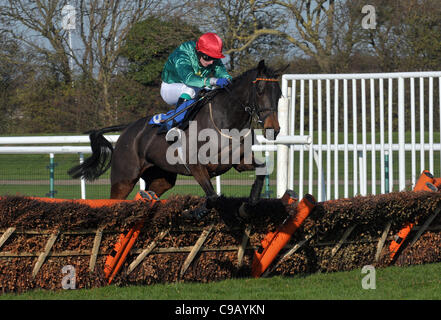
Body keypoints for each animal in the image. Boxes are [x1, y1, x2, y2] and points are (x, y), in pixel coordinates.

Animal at [69, 59, 282, 219]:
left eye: (279, 94)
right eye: (260, 90)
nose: (273, 129)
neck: (226, 122)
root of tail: (129, 128)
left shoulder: (239, 163)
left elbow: (261, 172)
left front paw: (247, 207)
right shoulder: (197, 166)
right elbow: (212, 197)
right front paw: (193, 212)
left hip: (161, 178)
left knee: (148, 193)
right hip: (124, 178)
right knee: (115, 200)